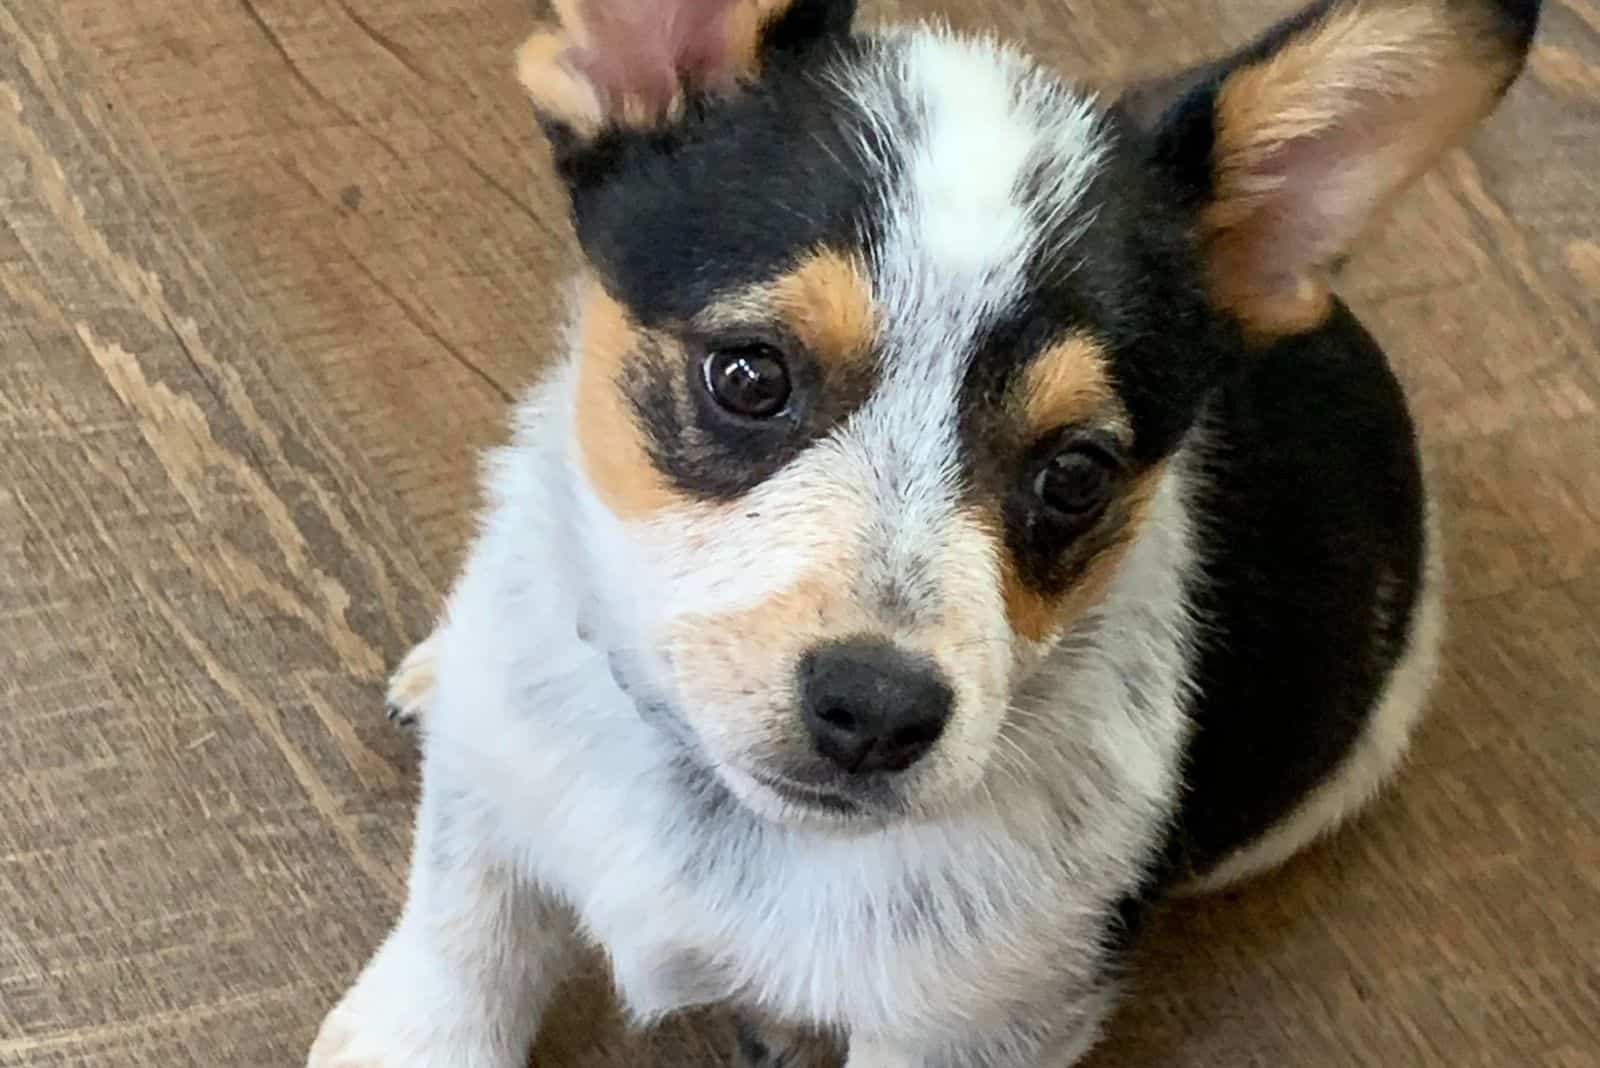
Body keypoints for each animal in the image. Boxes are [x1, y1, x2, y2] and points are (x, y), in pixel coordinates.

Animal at [308, 0, 1536, 1061]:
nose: (876, 711)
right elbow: (465, 930)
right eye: (749, 376)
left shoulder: (971, 1027)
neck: (709, 797)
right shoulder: (491, 807)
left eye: (1076, 475)